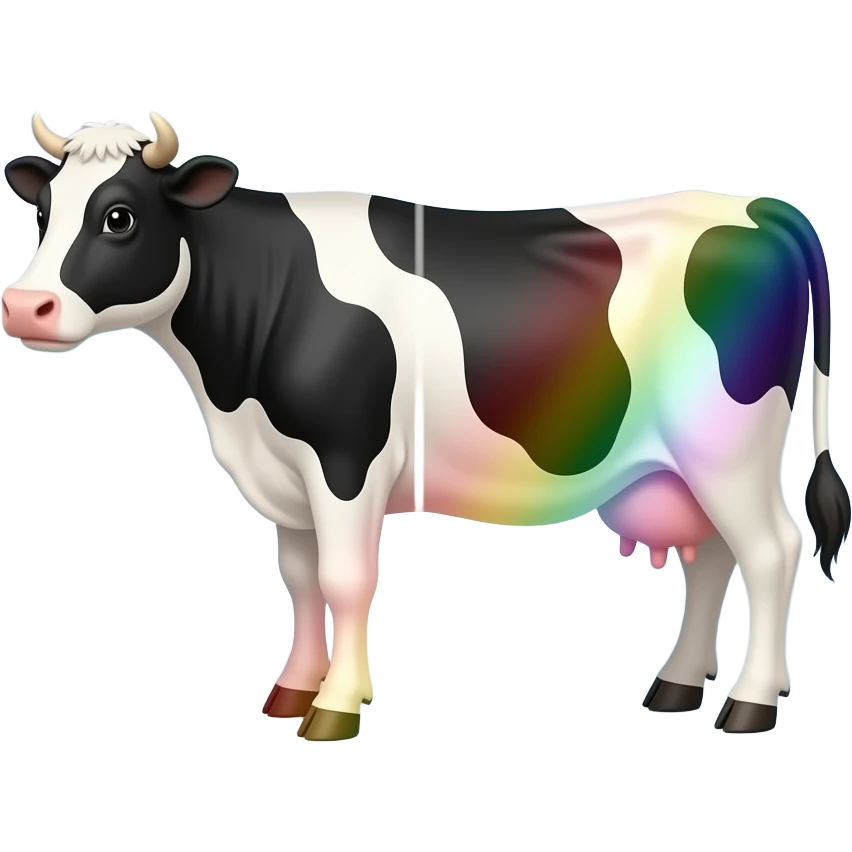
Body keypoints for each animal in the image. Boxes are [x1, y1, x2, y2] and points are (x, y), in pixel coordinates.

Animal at [3, 114, 848, 740]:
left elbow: (345, 581)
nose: (24, 308)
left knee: (772, 551)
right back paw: (673, 688)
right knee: (713, 558)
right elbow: (301, 580)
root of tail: (756, 205)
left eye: (119, 217)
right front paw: (291, 692)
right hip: (687, 463)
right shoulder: (285, 470)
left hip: (731, 447)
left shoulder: (346, 458)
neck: (232, 382)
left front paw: (334, 709)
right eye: (43, 214)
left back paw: (750, 703)